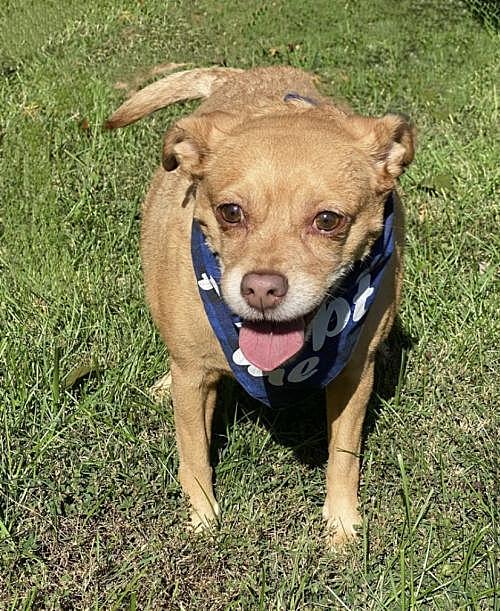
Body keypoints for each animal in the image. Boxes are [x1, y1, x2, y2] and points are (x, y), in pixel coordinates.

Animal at [107, 65, 416, 544]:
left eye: (328, 220)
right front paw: (203, 519)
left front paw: (342, 525)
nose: (261, 289)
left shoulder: (352, 375)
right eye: (230, 212)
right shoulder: (194, 380)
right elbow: (193, 453)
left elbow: (344, 455)